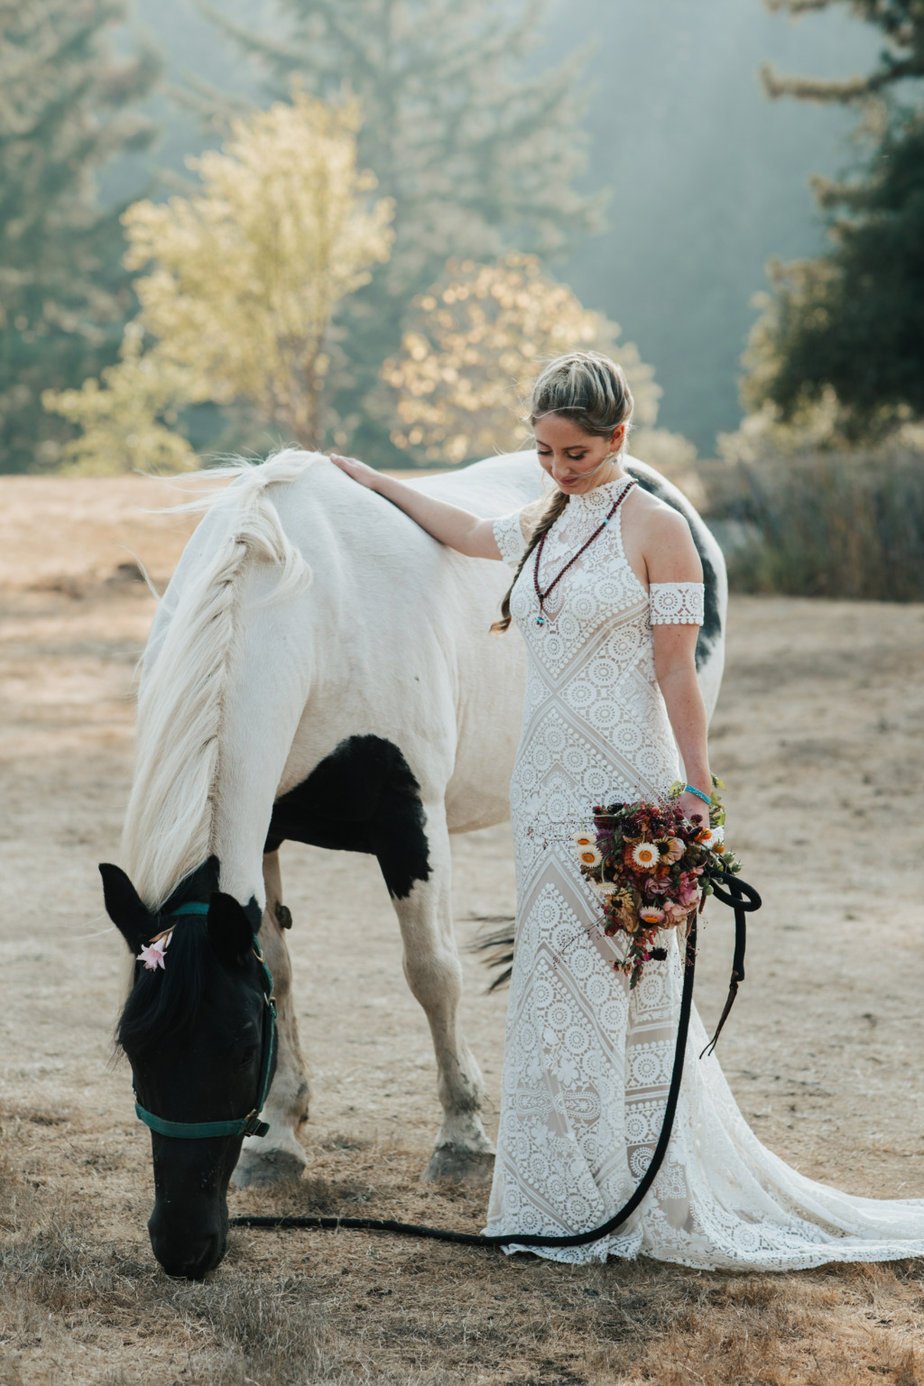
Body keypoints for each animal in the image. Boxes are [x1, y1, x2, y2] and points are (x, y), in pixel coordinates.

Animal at [101, 446, 731, 1275]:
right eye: (133, 1050)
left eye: (239, 1047)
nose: (183, 1244)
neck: (312, 607)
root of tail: (654, 486)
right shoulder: (263, 832)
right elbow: (280, 966)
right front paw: (284, 1139)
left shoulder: (410, 823)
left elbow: (432, 974)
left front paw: (463, 1140)